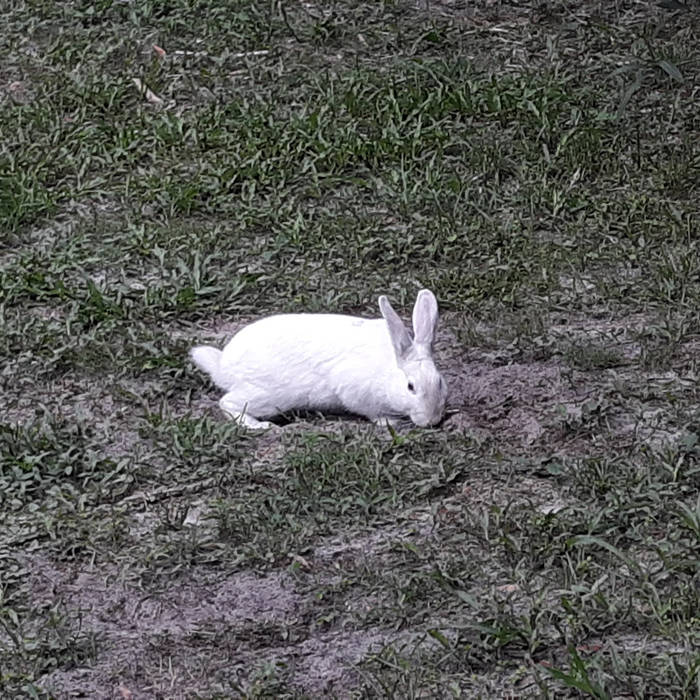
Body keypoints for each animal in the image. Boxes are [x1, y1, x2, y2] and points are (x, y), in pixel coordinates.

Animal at [190, 289, 447, 429]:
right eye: (410, 387)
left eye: (440, 382)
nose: (432, 420)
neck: (388, 370)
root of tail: (223, 367)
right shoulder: (353, 390)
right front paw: (390, 423)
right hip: (268, 395)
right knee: (228, 403)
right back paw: (259, 426)